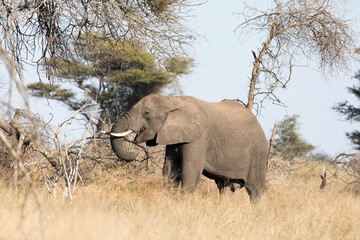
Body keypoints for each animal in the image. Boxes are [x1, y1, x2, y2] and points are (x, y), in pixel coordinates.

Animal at [108, 94, 268, 202]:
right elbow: (169, 171)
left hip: (258, 154)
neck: (172, 100)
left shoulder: (199, 138)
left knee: (255, 190)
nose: (134, 154)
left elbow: (190, 172)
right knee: (225, 188)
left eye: (146, 113)